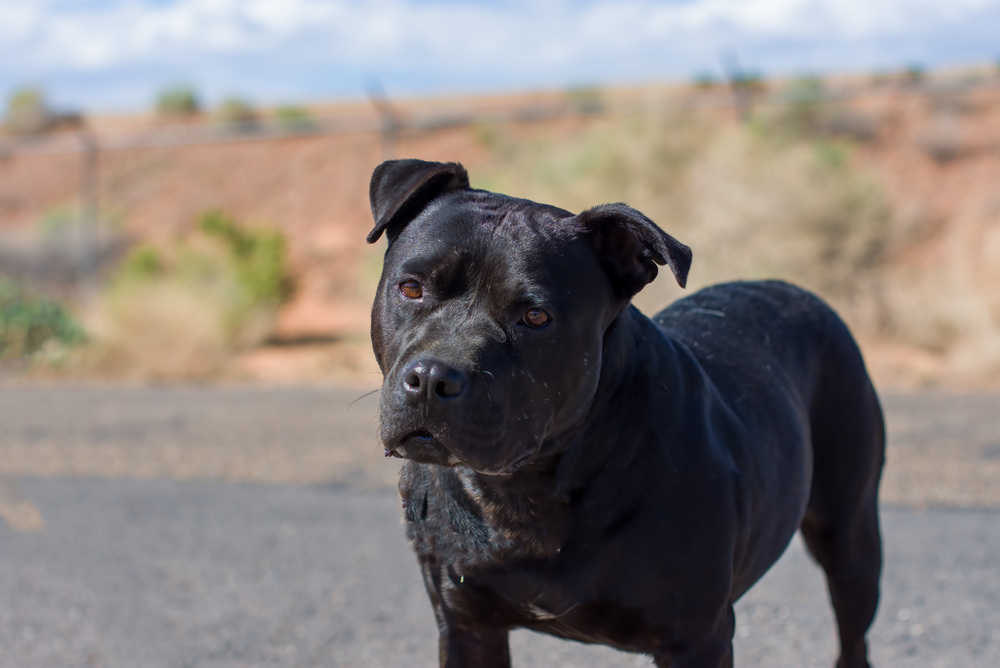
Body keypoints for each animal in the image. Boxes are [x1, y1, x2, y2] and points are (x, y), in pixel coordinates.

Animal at [368, 159, 884, 664]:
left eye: (535, 318)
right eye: (411, 289)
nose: (432, 378)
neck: (529, 491)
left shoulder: (697, 639)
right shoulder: (467, 627)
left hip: (851, 539)